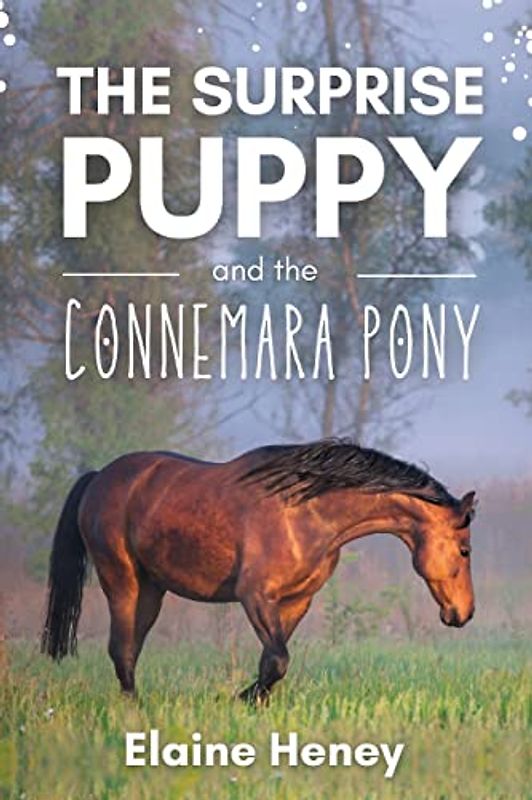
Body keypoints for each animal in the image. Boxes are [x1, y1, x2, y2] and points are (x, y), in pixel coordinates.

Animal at [41, 439, 476, 704]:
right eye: (465, 549)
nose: (464, 613)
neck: (305, 512)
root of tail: (99, 478)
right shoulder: (255, 596)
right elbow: (277, 660)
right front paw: (238, 699)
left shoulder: (296, 601)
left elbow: (272, 661)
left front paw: (251, 702)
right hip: (122, 581)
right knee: (122, 649)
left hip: (151, 590)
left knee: (129, 649)